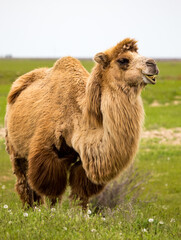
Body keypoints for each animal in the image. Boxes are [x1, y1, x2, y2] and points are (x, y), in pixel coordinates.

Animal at [4, 38, 159, 208]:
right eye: (123, 60)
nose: (153, 64)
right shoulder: (46, 152)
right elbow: (53, 192)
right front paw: (51, 214)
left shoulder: (82, 160)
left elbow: (81, 193)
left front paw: (79, 214)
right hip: (14, 148)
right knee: (23, 181)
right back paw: (30, 208)